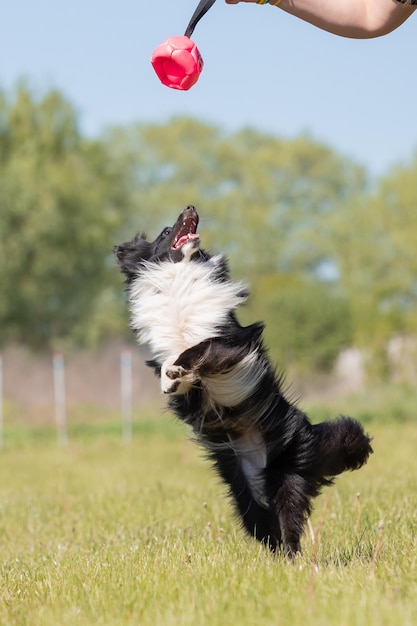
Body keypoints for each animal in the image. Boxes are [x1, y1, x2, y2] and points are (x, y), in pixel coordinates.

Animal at [113, 206, 370, 556]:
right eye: (166, 231)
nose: (191, 207)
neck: (179, 280)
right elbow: (172, 363)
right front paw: (172, 378)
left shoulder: (234, 344)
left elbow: (200, 347)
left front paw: (179, 369)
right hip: (244, 496)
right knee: (267, 529)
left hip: (286, 476)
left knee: (290, 524)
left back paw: (294, 559)